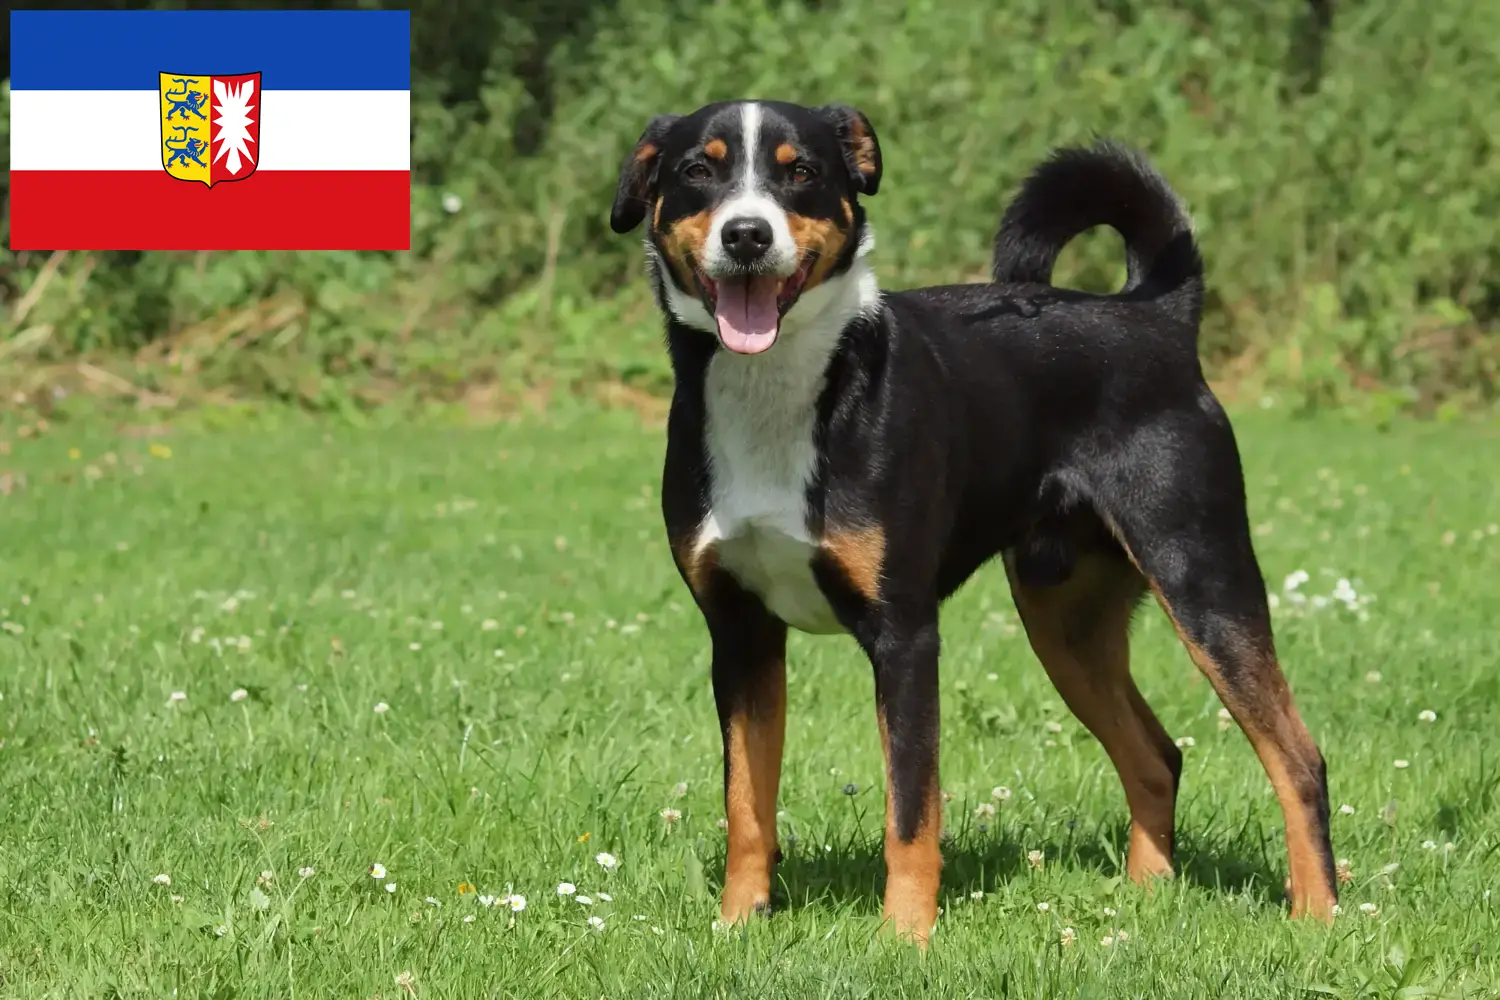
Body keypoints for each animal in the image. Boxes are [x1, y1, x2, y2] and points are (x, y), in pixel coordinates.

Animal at [606, 99, 1338, 947]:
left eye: (801, 172)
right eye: (699, 169)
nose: (748, 235)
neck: (777, 392)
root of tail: (1152, 314)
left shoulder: (905, 635)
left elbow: (911, 811)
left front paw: (905, 939)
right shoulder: (740, 634)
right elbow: (747, 805)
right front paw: (740, 923)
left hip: (1204, 580)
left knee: (1298, 758)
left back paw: (1317, 912)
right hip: (1067, 624)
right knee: (1157, 757)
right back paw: (1147, 900)